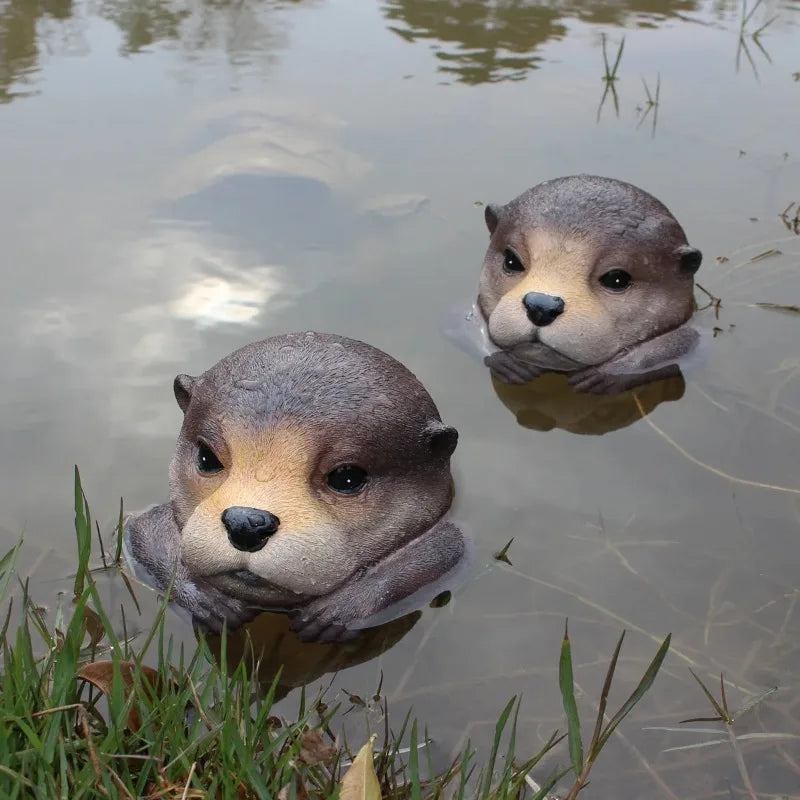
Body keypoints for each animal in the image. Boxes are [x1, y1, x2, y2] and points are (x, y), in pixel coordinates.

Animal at [124, 332, 466, 644]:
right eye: (207, 457)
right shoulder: (147, 525)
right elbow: (142, 530)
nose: (247, 522)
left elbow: (446, 548)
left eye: (347, 477)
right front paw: (208, 599)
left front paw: (342, 608)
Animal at [476, 175, 703, 394]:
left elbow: (686, 342)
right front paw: (506, 362)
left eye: (617, 279)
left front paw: (608, 373)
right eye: (511, 261)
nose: (541, 306)